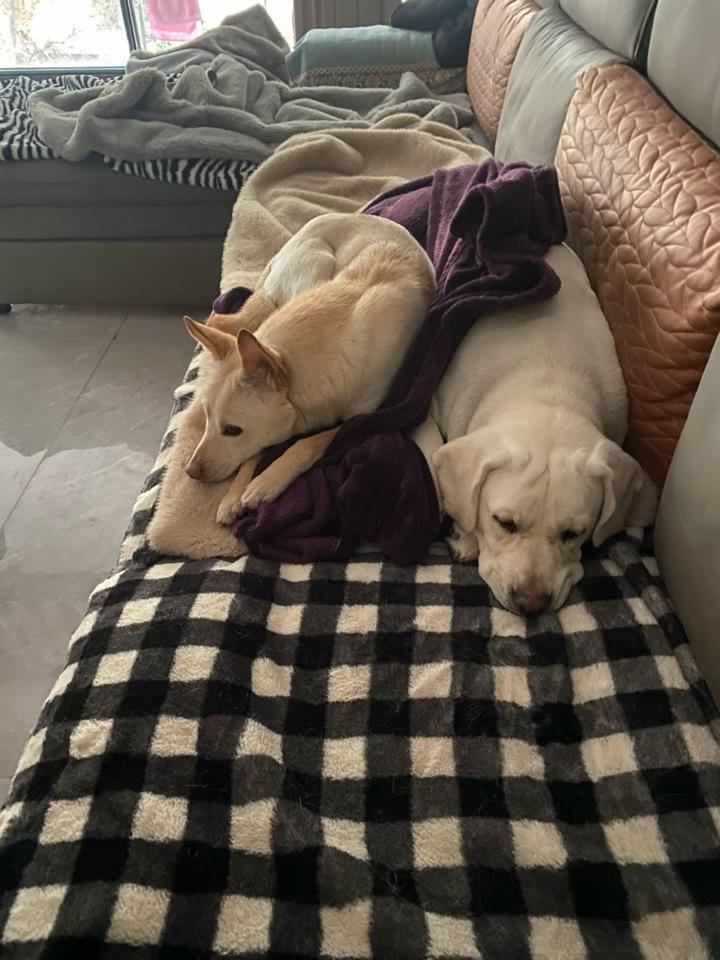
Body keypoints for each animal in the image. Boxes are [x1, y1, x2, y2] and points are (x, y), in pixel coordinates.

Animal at [183, 212, 436, 525]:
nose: (190, 472)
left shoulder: (365, 416)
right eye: (206, 417)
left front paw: (267, 480)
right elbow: (256, 451)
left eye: (232, 430)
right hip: (314, 269)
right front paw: (234, 494)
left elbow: (311, 441)